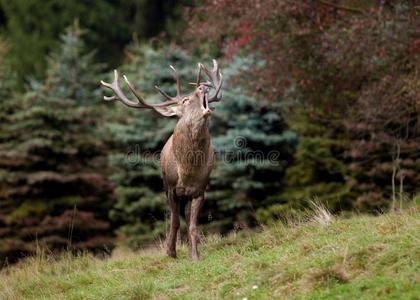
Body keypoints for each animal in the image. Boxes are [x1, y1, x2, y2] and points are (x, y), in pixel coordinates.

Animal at [100, 59, 223, 260]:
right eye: (185, 100)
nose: (204, 87)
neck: (187, 171)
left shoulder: (200, 190)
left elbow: (193, 225)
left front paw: (195, 256)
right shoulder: (171, 188)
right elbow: (174, 222)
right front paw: (170, 252)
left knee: (187, 215)